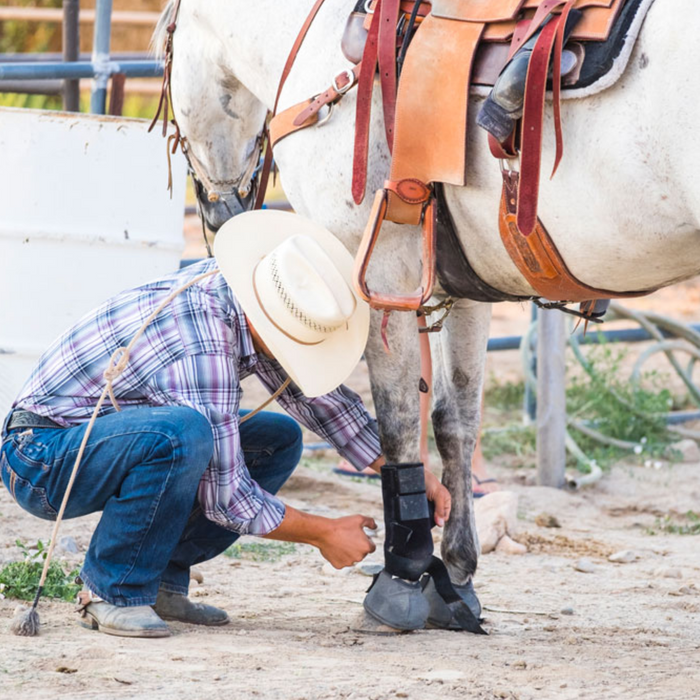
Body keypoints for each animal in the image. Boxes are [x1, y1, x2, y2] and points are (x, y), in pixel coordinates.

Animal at [157, 1, 700, 596]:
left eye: (165, 47)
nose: (218, 214)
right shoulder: (466, 288)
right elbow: (453, 419)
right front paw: (458, 568)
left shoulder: (375, 273)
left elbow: (396, 424)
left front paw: (405, 568)